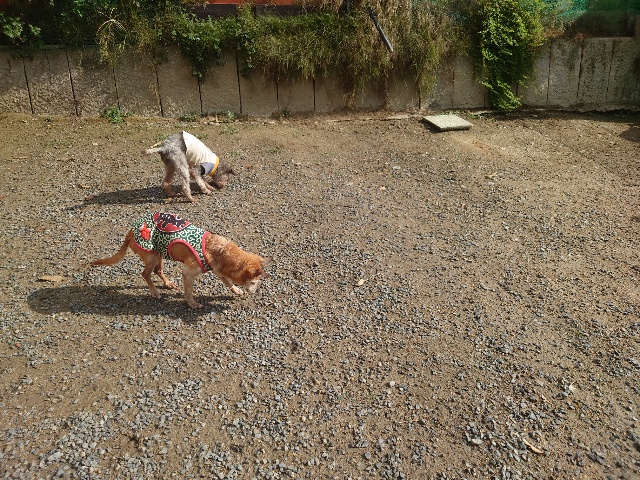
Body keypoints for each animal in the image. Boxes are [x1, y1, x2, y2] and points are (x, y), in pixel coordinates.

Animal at [91, 212, 270, 309]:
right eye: (254, 282)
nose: (256, 291)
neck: (219, 250)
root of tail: (129, 233)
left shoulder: (219, 271)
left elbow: (228, 282)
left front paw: (236, 291)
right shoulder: (188, 273)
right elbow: (188, 292)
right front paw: (192, 304)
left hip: (160, 253)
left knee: (157, 270)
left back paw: (168, 284)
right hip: (152, 256)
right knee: (145, 274)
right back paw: (154, 292)